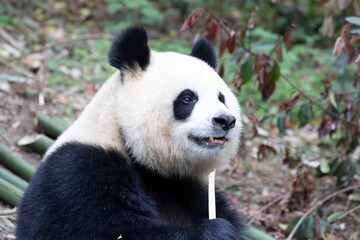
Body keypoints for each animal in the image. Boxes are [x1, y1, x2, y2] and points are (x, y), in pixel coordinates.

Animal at [16, 27, 248, 239]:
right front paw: (217, 231)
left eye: (222, 98)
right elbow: (109, 230)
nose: (225, 121)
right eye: (188, 98)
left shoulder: (193, 187)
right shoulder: (80, 170)